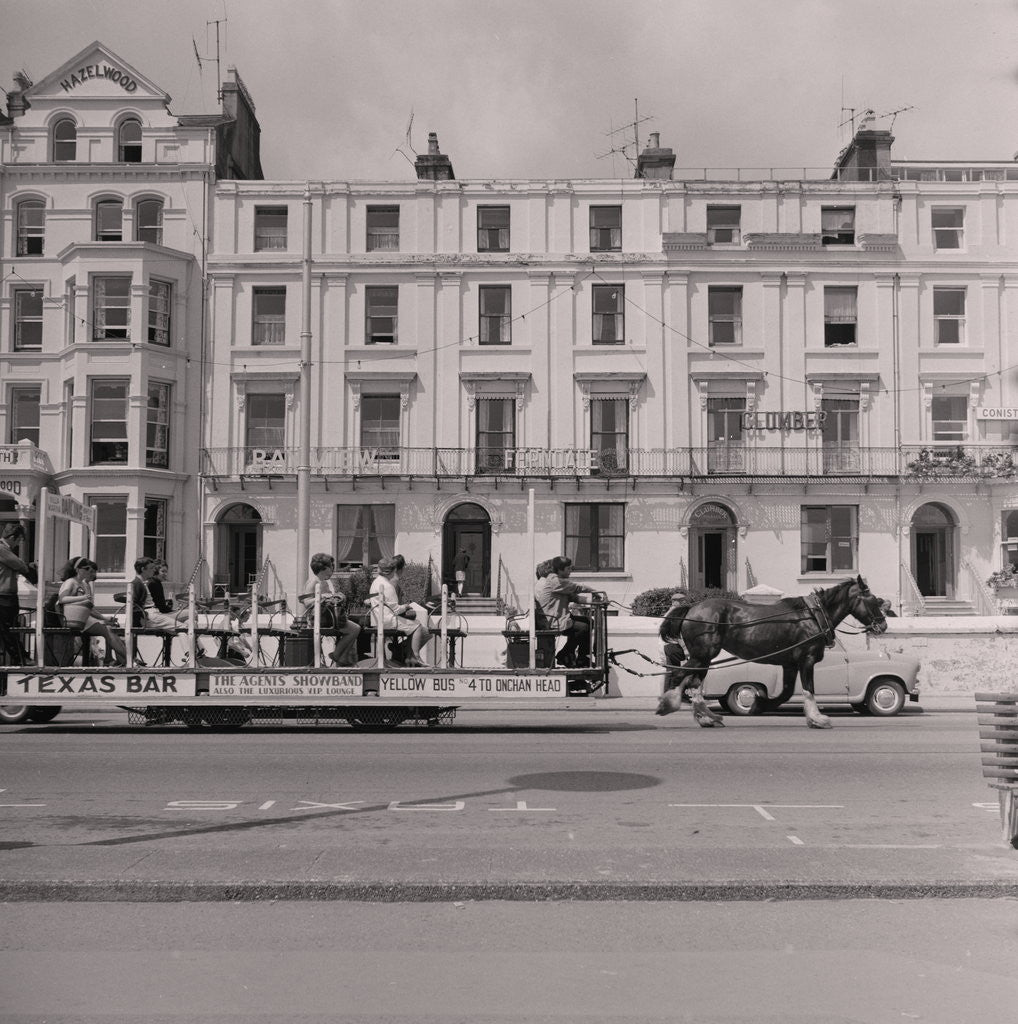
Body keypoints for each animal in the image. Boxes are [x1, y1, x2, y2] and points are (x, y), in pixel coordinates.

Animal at [655, 577, 884, 729]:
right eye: (873, 600)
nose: (882, 624)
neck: (812, 616)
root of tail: (691, 608)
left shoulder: (790, 664)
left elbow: (786, 692)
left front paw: (760, 703)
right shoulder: (807, 659)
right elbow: (808, 689)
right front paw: (818, 719)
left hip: (703, 658)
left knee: (693, 683)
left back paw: (706, 717)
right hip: (702, 655)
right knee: (680, 675)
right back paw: (671, 705)